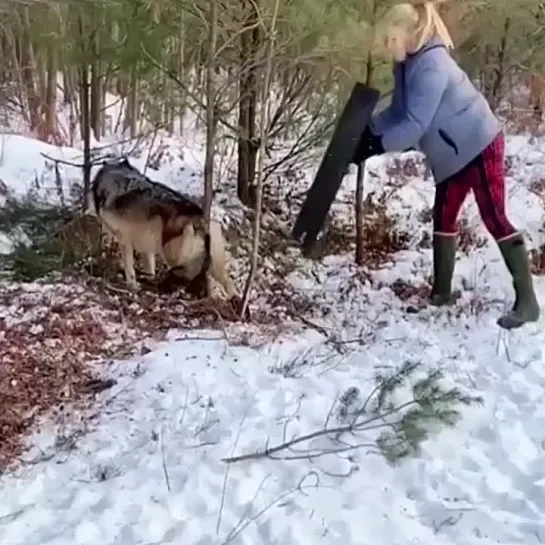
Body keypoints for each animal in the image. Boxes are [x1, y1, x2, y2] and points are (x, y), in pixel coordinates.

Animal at [85, 157, 236, 298]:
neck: (116, 179)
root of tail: (200, 219)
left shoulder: (124, 240)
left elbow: (129, 268)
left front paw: (132, 286)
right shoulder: (146, 247)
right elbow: (150, 268)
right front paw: (148, 280)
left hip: (174, 258)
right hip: (213, 266)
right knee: (227, 282)